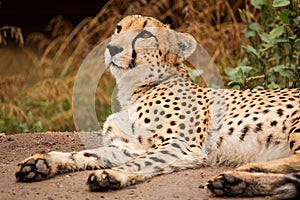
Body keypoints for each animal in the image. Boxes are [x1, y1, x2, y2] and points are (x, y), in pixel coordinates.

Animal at [16, 15, 300, 198]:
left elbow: (143, 161)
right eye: (118, 28)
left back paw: (243, 171)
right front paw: (42, 162)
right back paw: (237, 181)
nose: (112, 47)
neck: (134, 89)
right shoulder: (131, 145)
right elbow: (89, 154)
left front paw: (112, 175)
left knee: (295, 163)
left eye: (145, 34)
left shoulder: (181, 144)